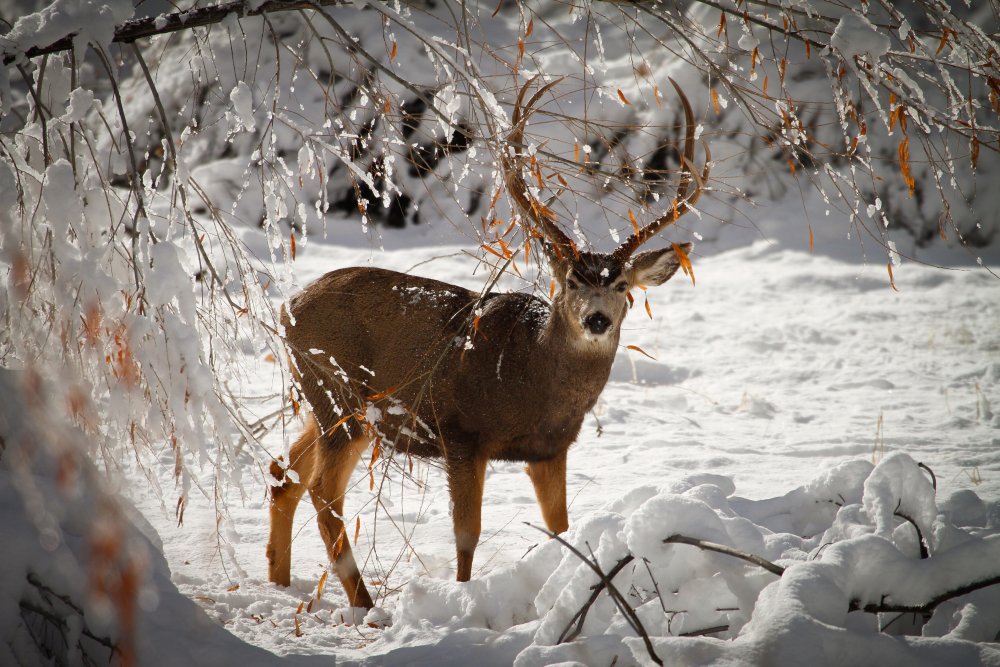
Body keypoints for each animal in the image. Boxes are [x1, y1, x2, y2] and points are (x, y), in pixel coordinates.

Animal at [262, 78, 708, 612]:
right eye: (570, 281)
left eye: (622, 285)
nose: (597, 319)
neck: (530, 378)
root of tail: (287, 308)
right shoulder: (461, 433)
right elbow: (466, 535)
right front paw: (462, 599)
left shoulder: (549, 450)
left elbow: (561, 528)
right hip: (341, 396)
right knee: (324, 495)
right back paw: (366, 605)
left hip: (325, 402)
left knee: (282, 473)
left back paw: (280, 583)